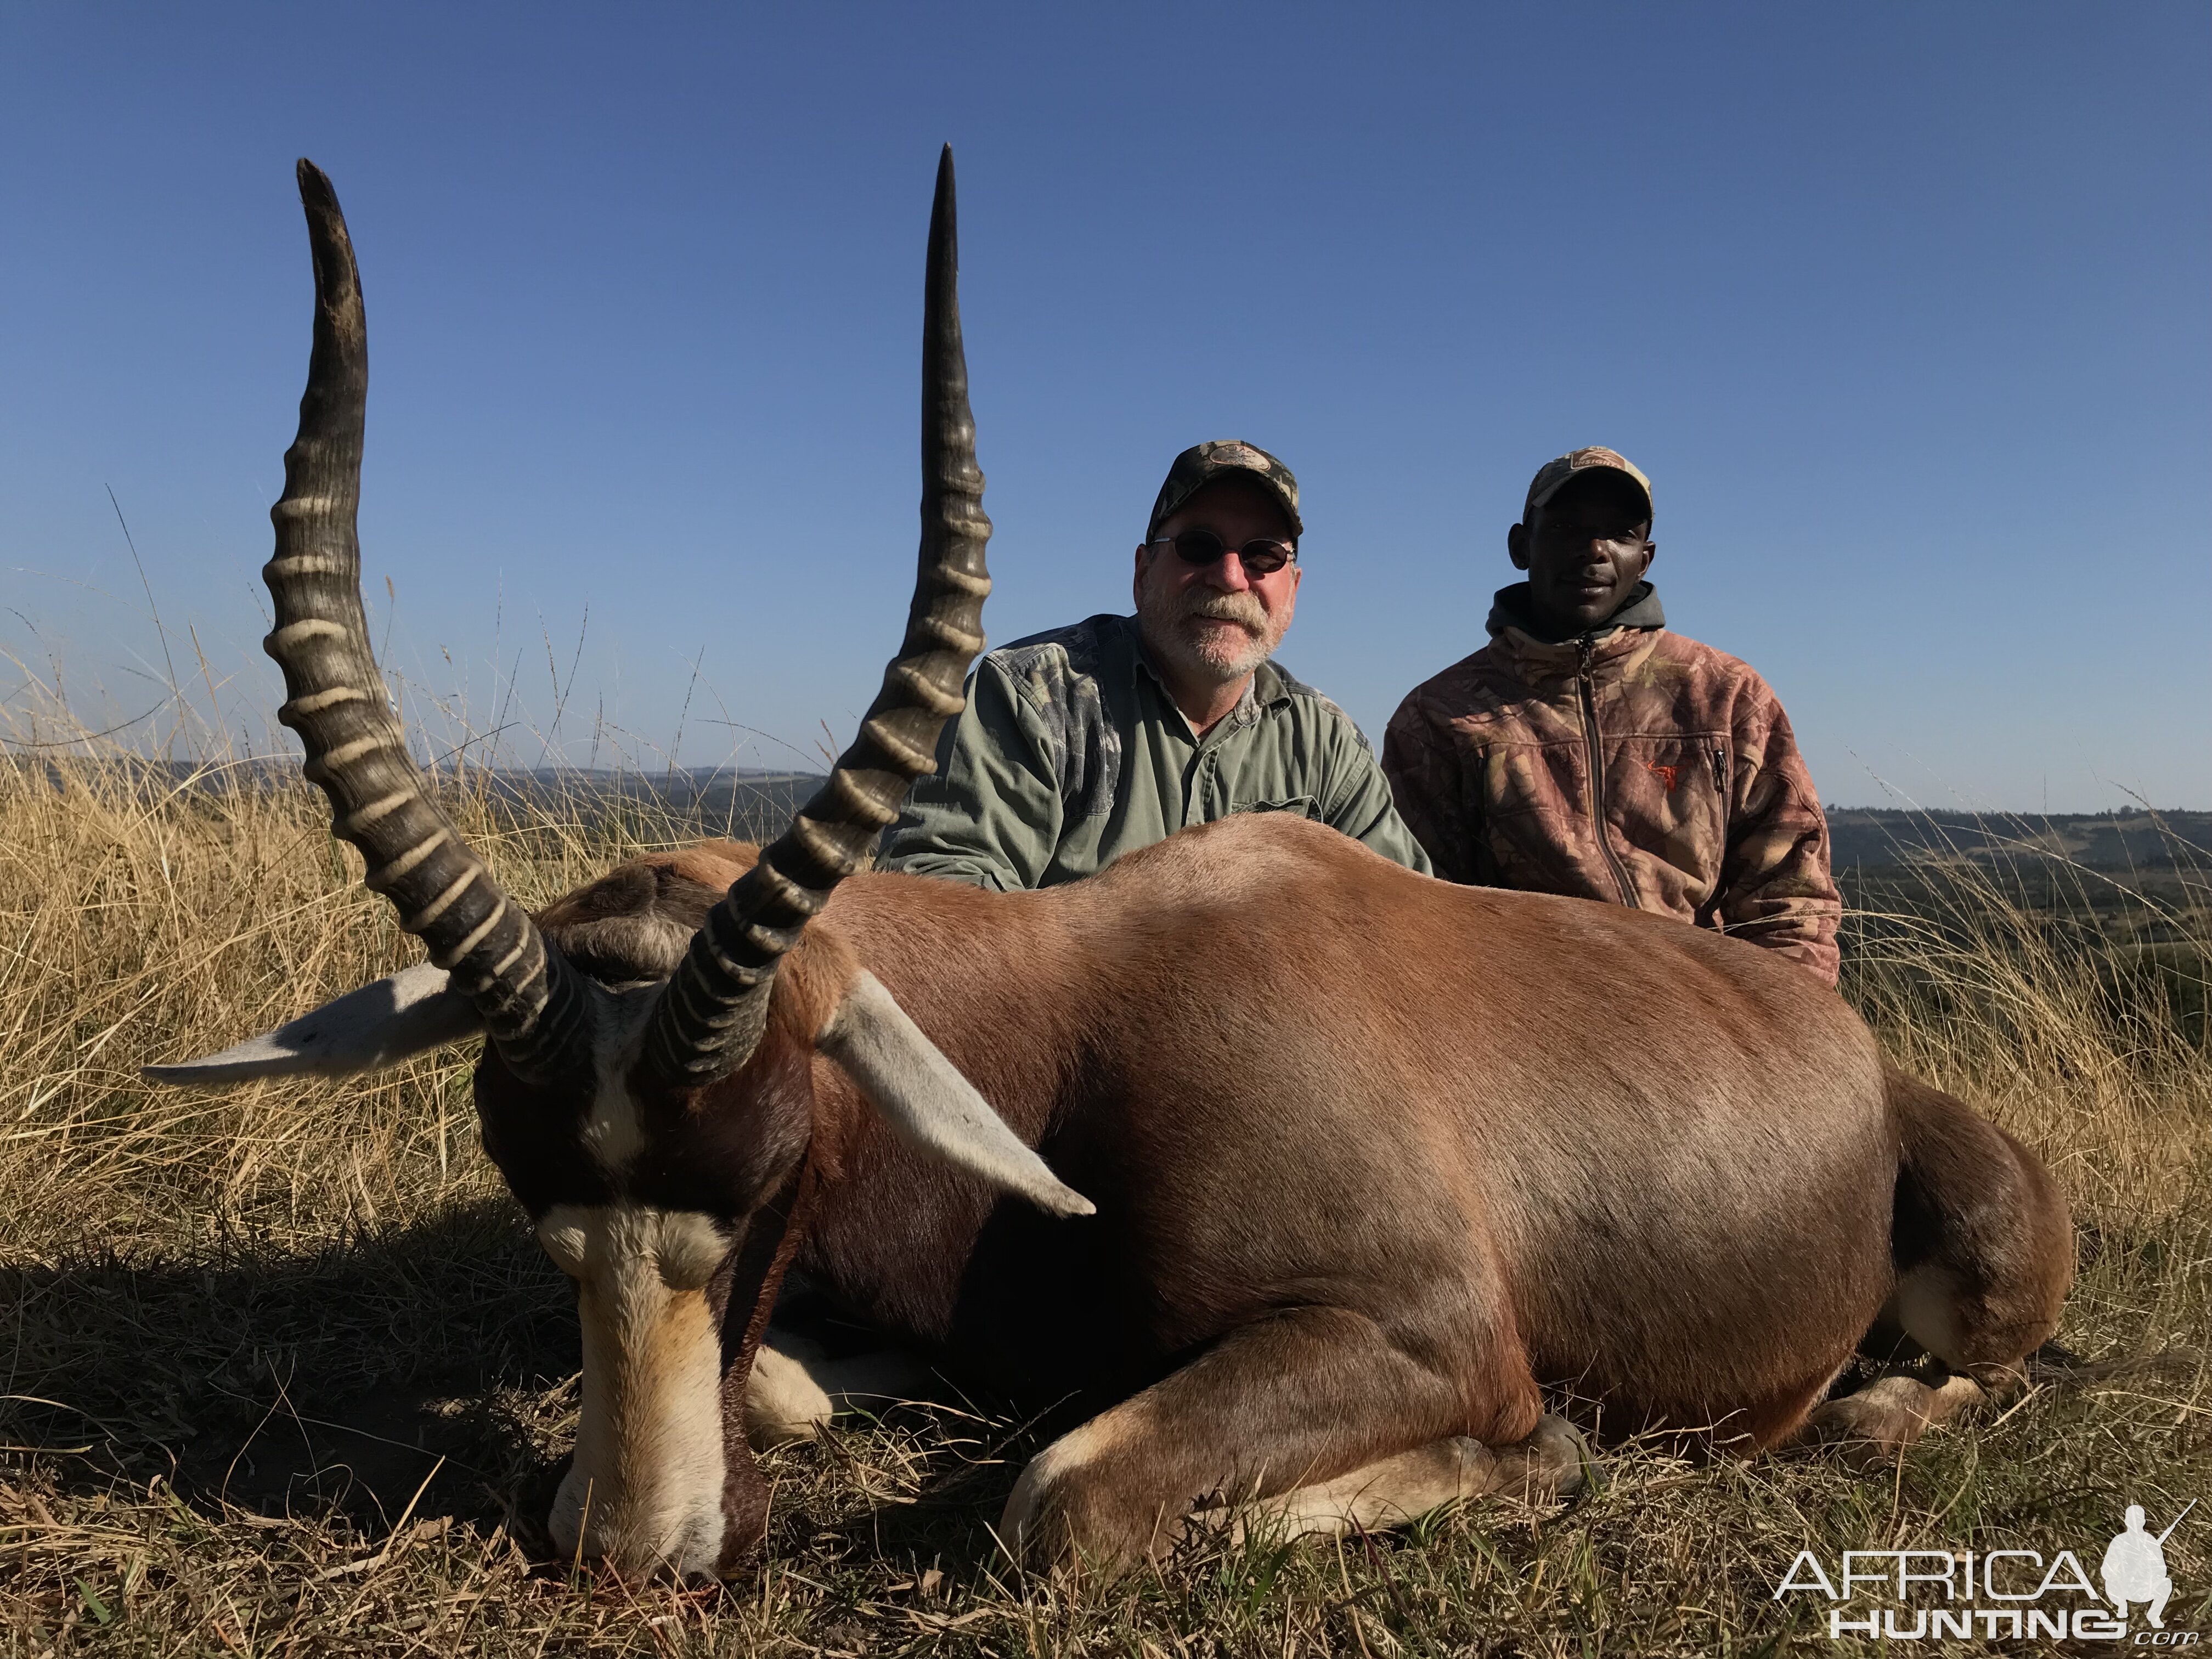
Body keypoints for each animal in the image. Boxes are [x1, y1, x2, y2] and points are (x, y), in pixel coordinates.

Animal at [151, 153, 2070, 1583]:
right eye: (527, 1185)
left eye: (768, 1173)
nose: (636, 1553)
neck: (1072, 1026)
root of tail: (1863, 1065)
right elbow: (787, 1395)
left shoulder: (1425, 1330)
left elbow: (1063, 1499)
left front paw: (1544, 1458)